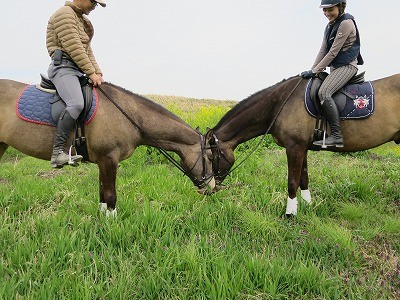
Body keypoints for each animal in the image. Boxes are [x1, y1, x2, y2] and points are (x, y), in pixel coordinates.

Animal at [0, 78, 216, 217]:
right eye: (210, 157)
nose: (212, 188)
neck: (128, 115)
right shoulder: (108, 159)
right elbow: (111, 196)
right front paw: (112, 227)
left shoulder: (102, 162)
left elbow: (102, 193)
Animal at [206, 73, 400, 216]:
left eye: (208, 157)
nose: (206, 189)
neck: (280, 103)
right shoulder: (302, 148)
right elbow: (304, 179)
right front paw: (307, 205)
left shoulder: (294, 148)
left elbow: (292, 182)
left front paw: (290, 213)